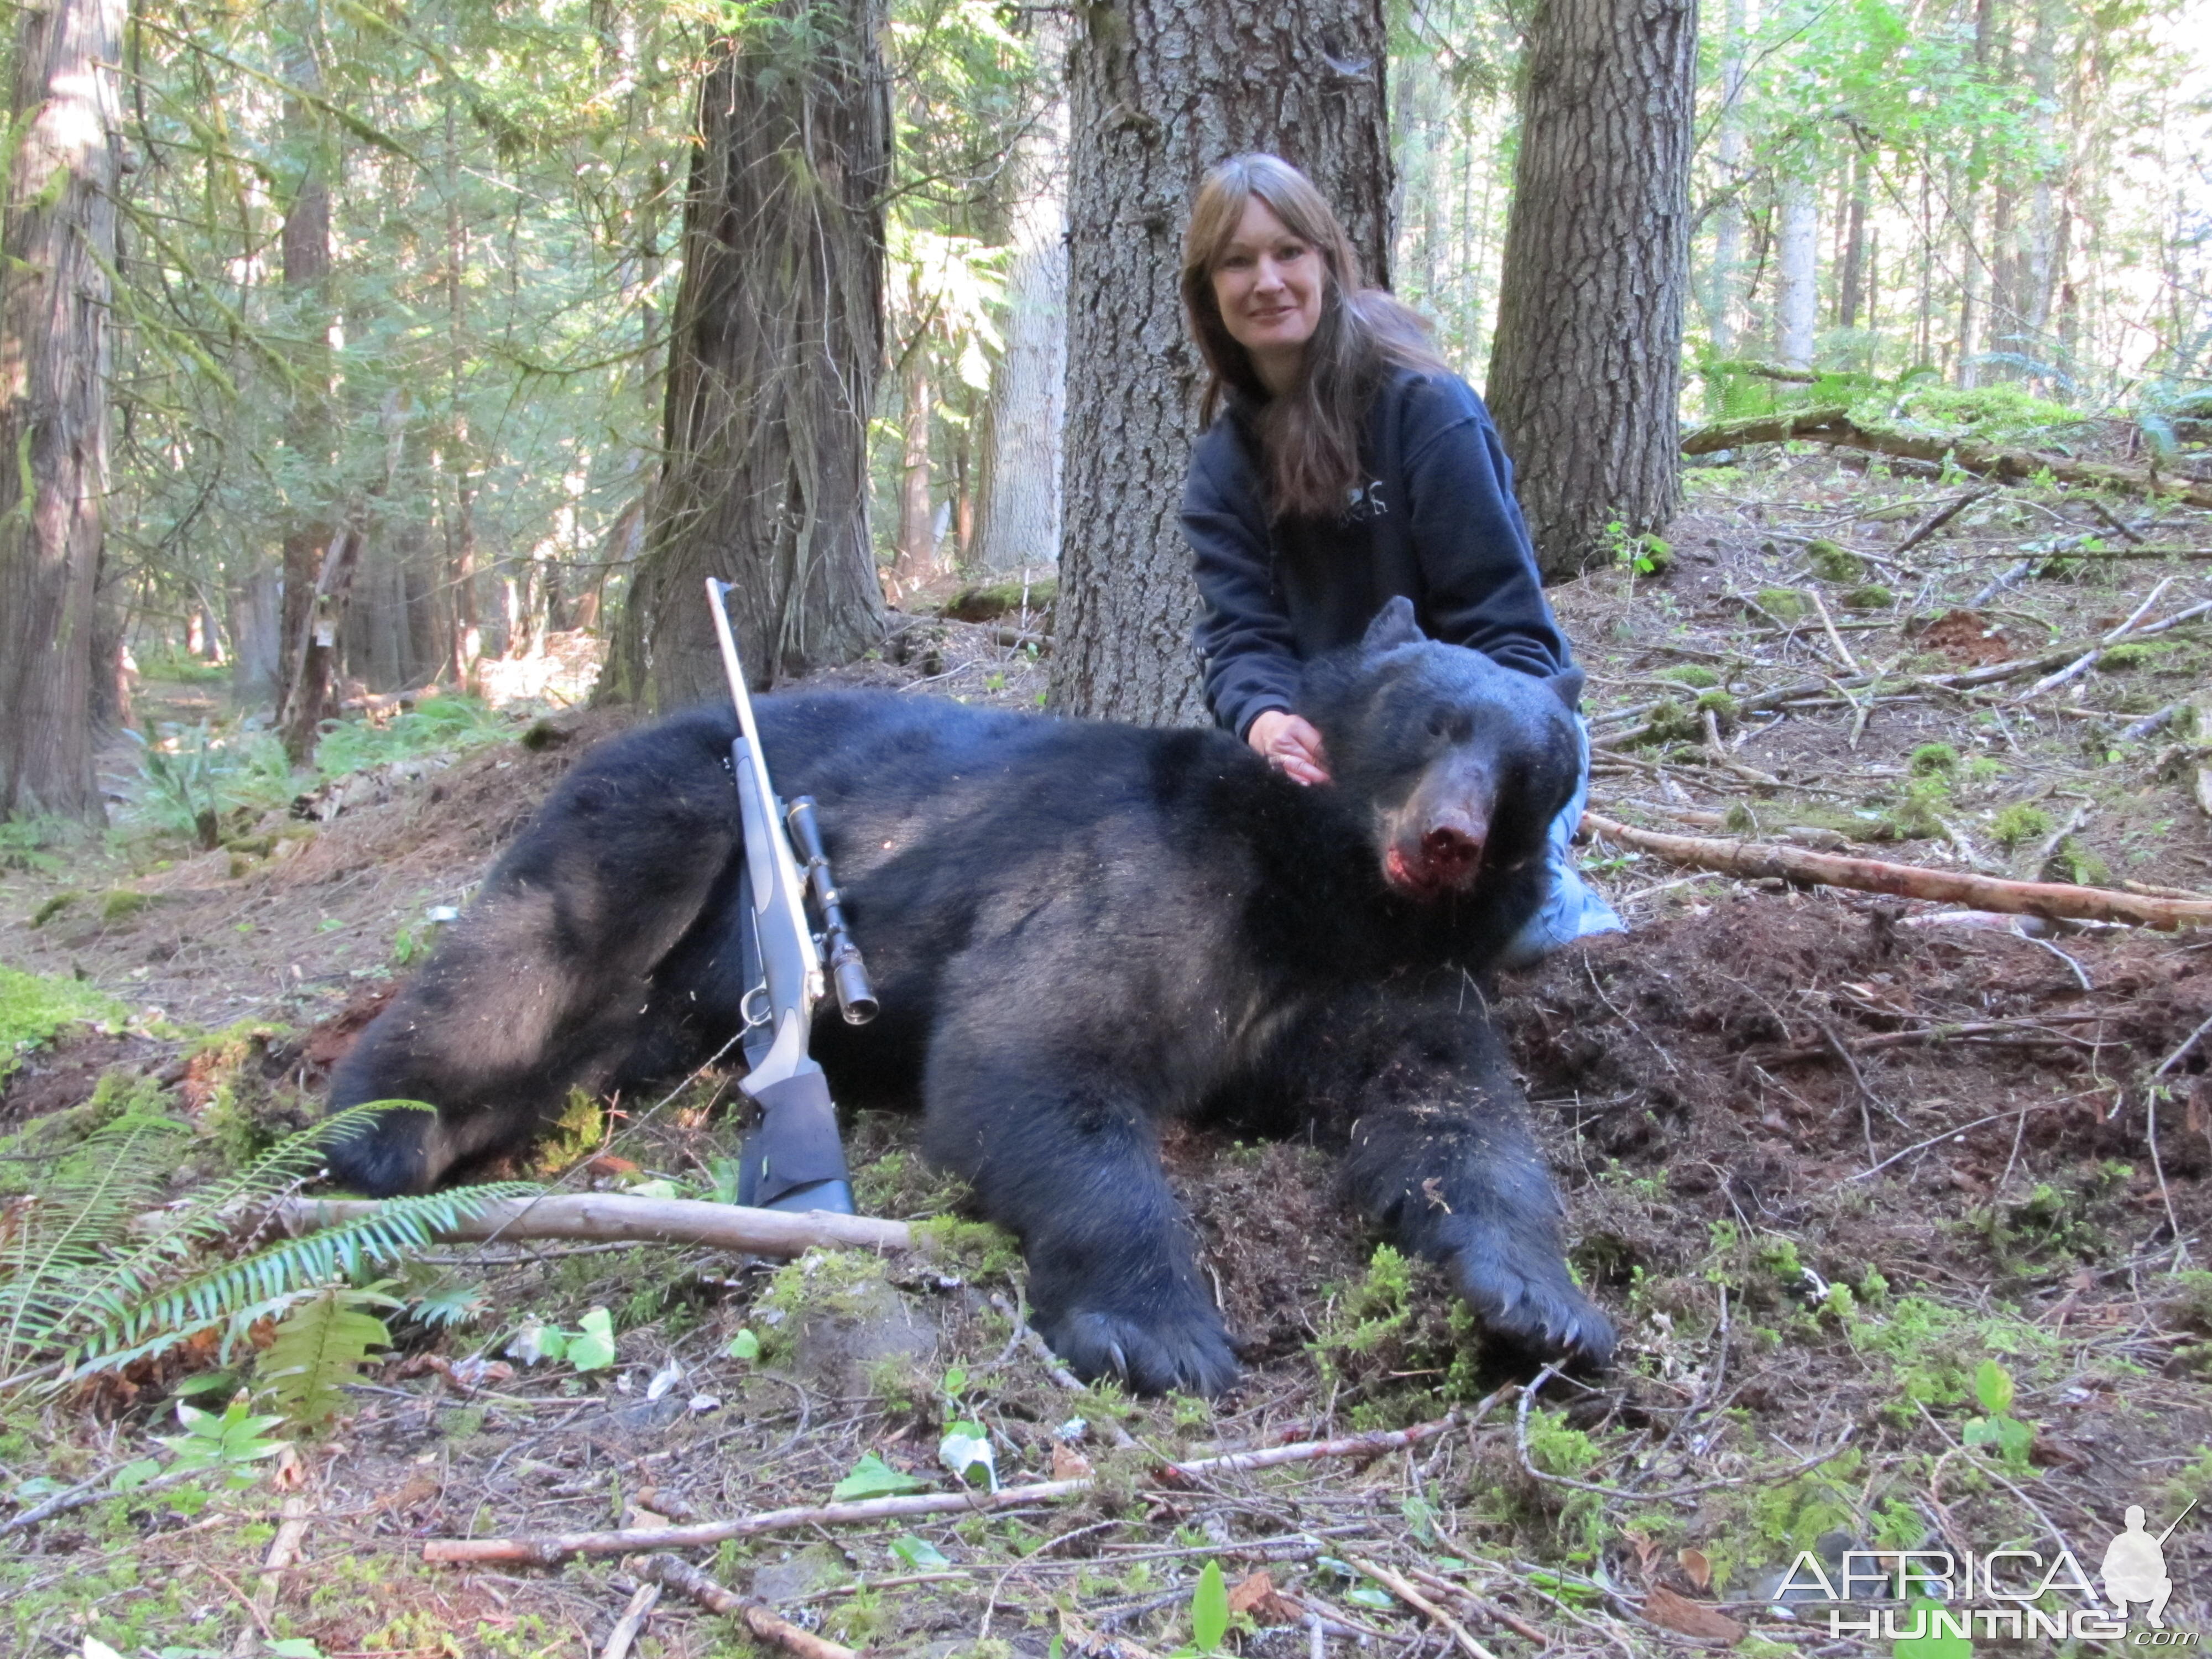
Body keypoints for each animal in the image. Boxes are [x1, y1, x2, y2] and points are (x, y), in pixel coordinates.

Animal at [323, 606, 1610, 1398]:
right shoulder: (1144, 877)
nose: (1447, 839)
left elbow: (1452, 1118)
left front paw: (1542, 1301)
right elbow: (1032, 1058)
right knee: (522, 957)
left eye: (1527, 762)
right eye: (1430, 722)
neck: (1315, 895)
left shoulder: (1381, 980)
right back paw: (378, 1136)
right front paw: (1158, 1332)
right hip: (659, 818)